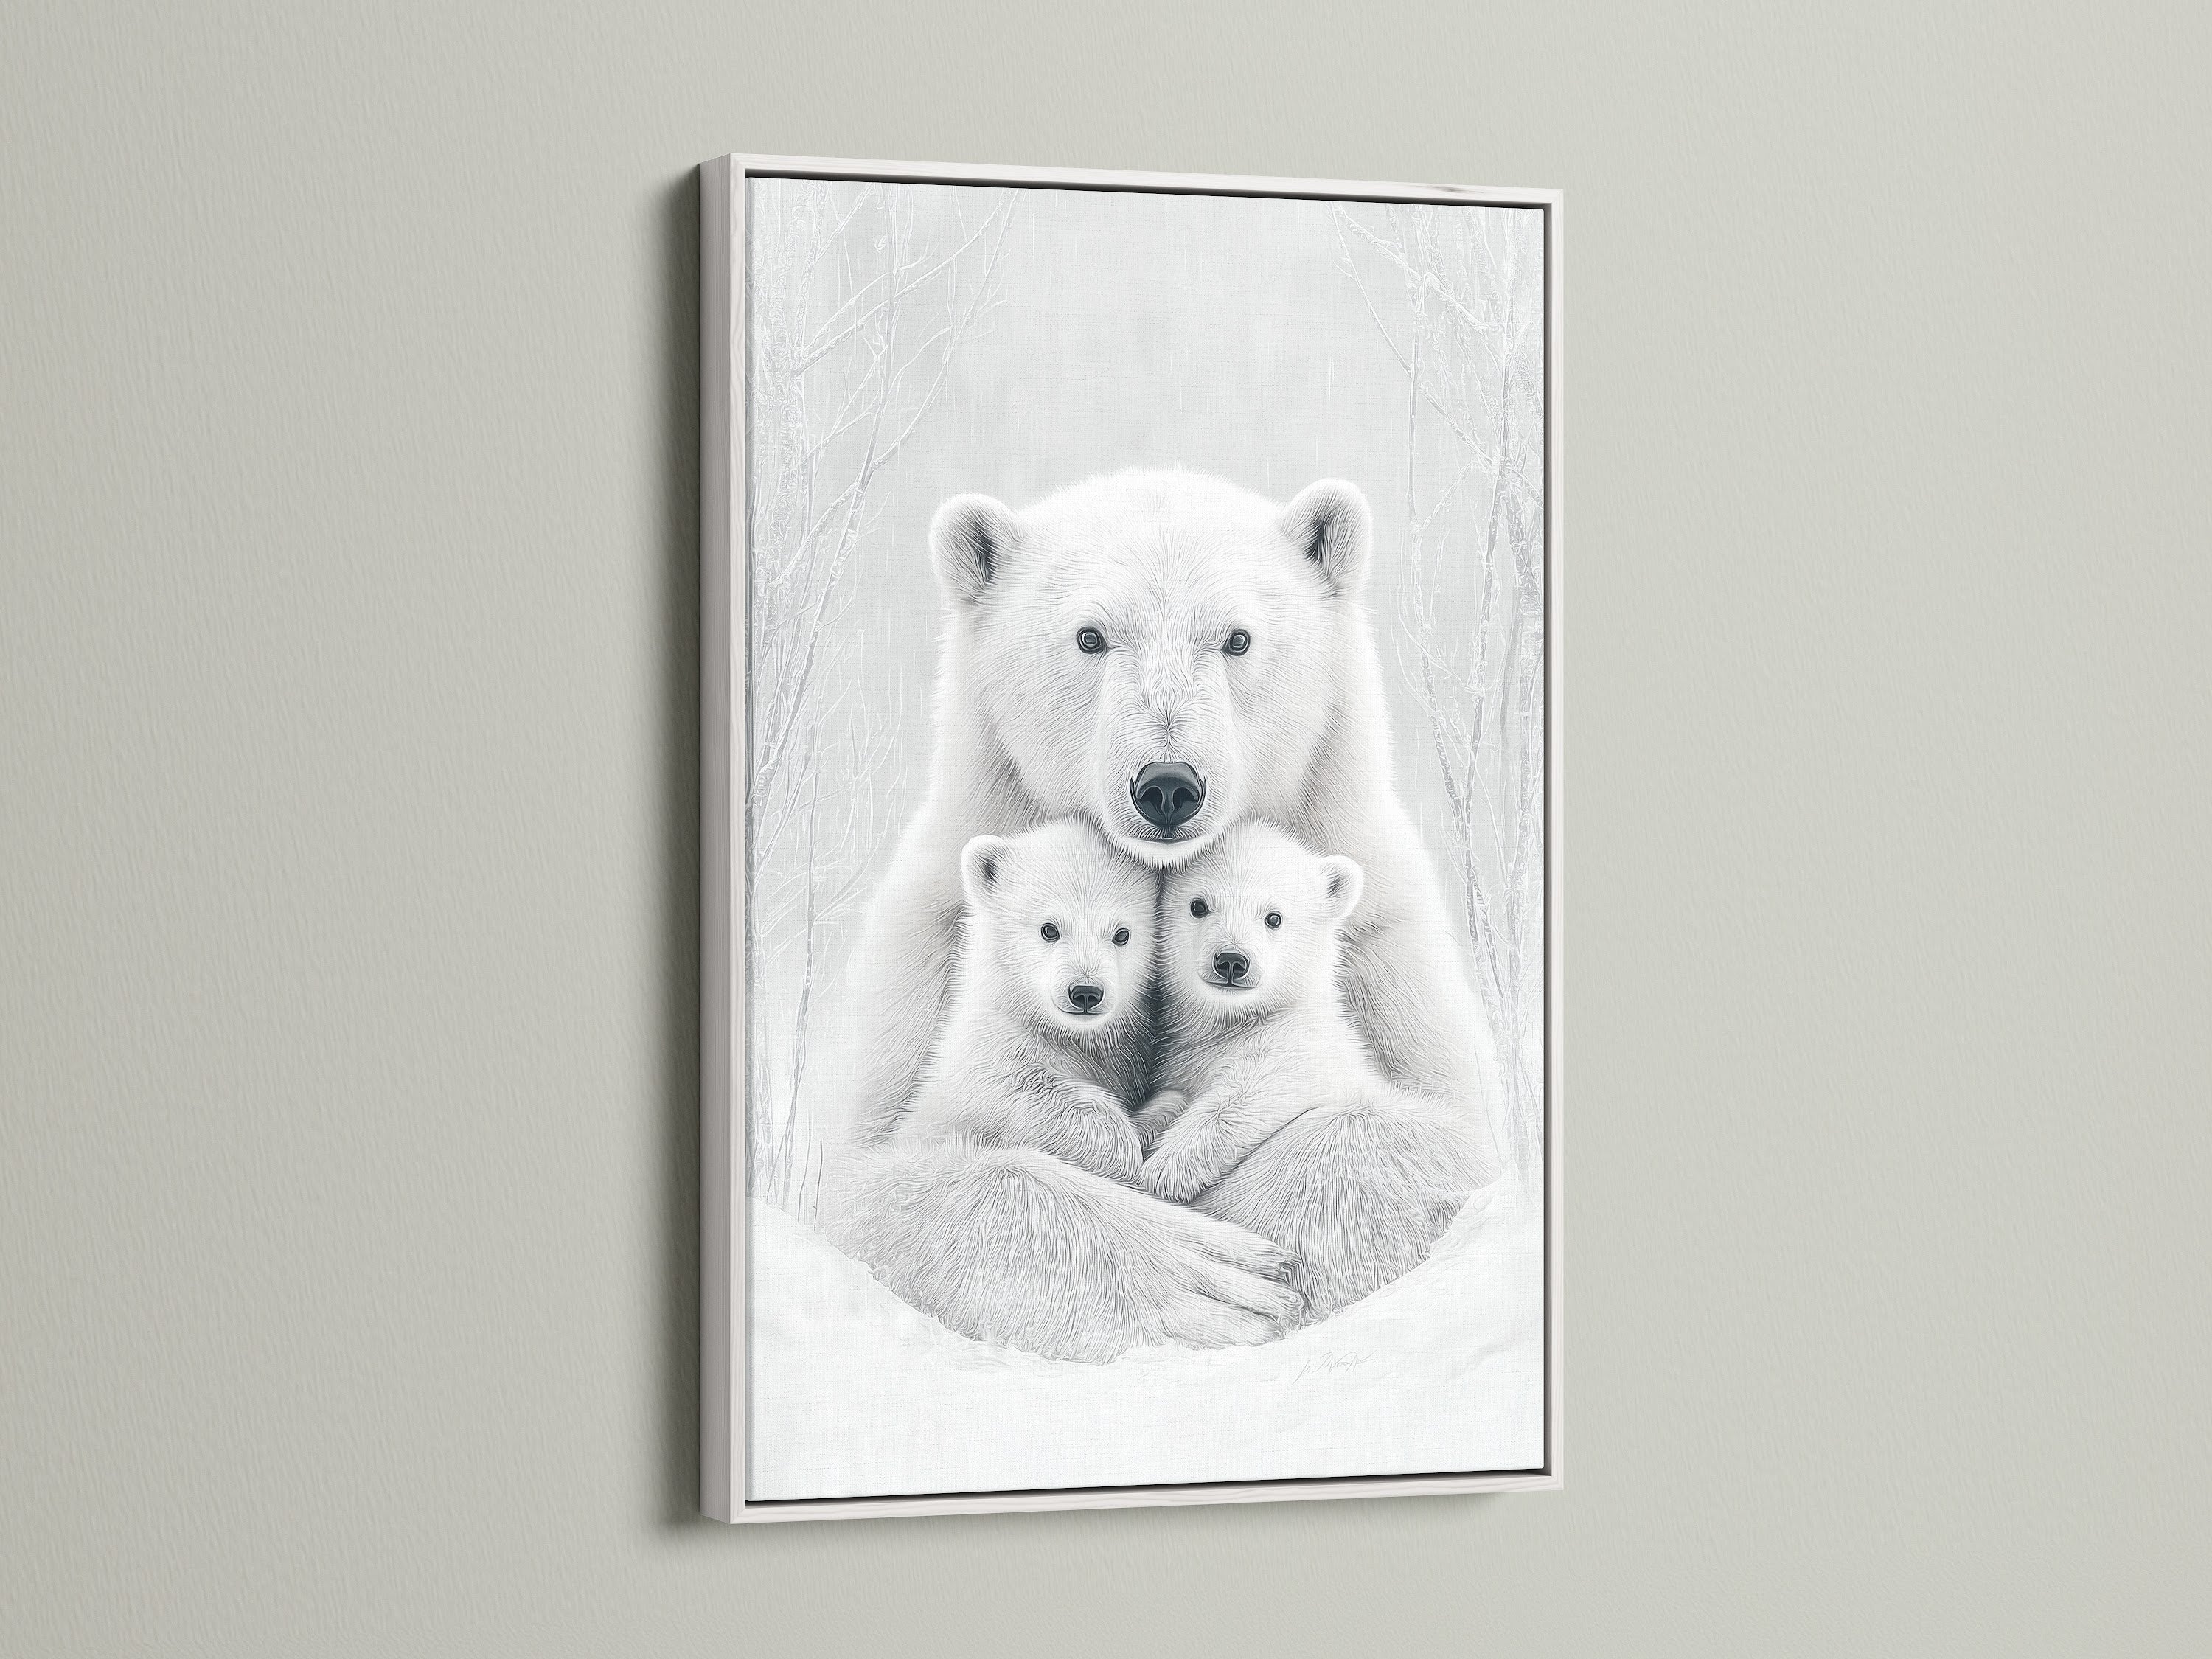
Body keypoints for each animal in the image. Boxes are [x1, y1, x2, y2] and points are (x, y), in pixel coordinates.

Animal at [900, 820, 1154, 1184]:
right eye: (1049, 929)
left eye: (1122, 934)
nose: (1086, 992)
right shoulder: (992, 1043)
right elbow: (1017, 1085)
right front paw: (1124, 1148)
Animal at [1138, 822, 1483, 1316]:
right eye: (1198, 905)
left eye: (1274, 917)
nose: (1231, 961)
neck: (1237, 1022)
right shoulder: (1186, 1059)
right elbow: (1173, 1096)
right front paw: (1146, 1129)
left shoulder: (1307, 1046)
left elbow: (1254, 1090)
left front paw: (1164, 1173)